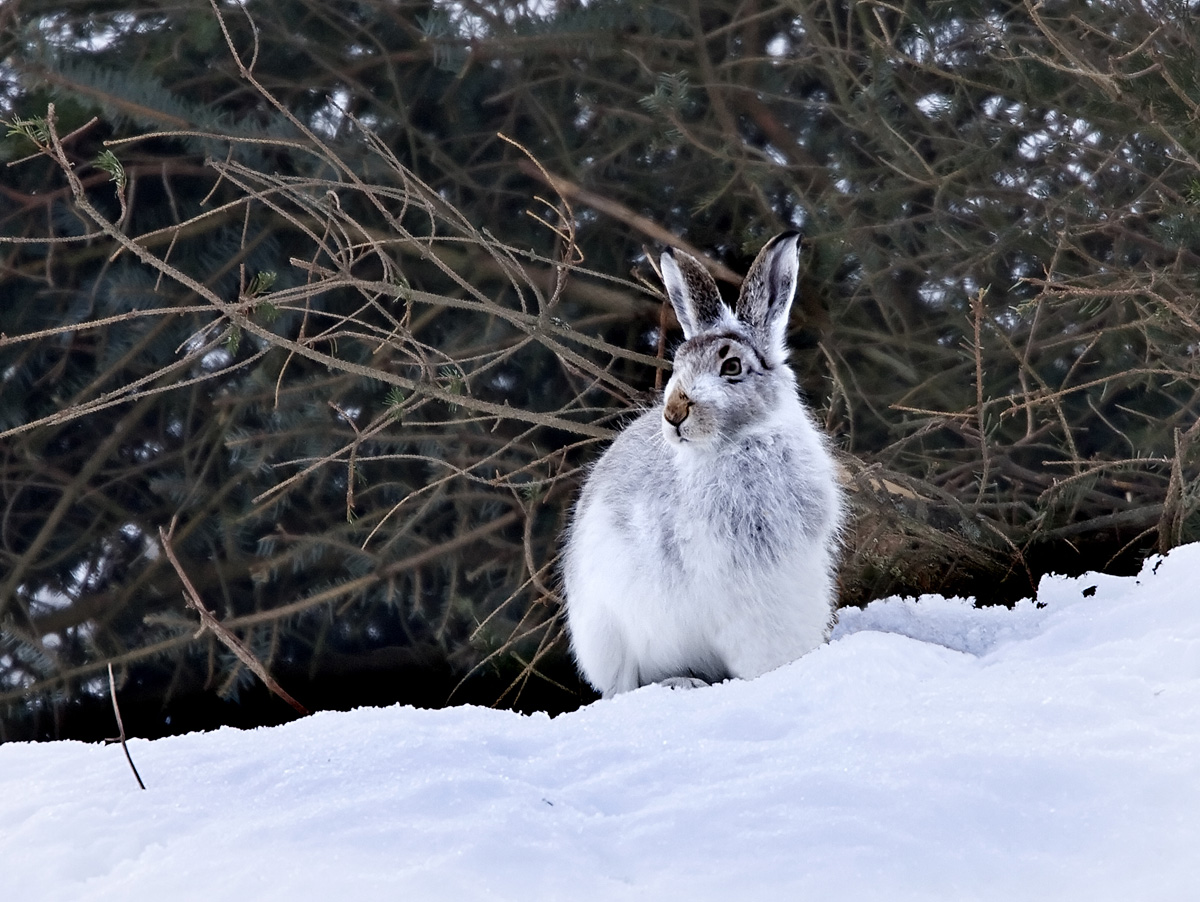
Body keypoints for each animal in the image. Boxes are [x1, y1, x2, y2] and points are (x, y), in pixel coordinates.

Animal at [561, 231, 844, 698]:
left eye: (732, 366)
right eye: (677, 366)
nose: (674, 413)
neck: (739, 444)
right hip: (610, 629)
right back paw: (681, 683)